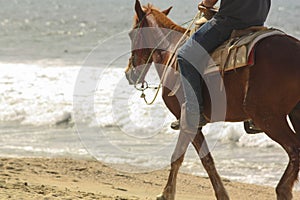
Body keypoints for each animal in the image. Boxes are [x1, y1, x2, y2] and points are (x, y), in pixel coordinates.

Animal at [125, 0, 300, 199]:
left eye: (131, 33)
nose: (129, 72)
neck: (171, 52)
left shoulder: (188, 119)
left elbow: (186, 158)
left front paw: (167, 193)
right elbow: (204, 159)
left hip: (267, 117)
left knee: (294, 150)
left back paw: (282, 190)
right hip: (293, 114)